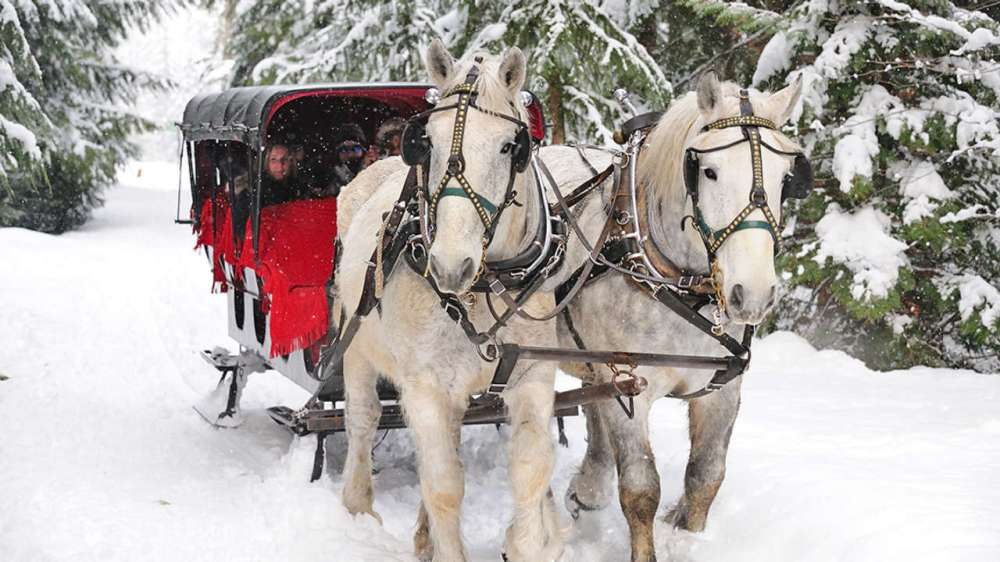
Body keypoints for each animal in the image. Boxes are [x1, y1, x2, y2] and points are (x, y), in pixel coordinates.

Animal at [336, 40, 568, 560]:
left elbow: (530, 469)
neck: (483, 287)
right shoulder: (423, 385)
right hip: (356, 344)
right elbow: (443, 485)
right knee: (362, 420)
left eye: (509, 147)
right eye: (428, 144)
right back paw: (358, 507)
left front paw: (525, 543)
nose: (449, 265)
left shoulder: (532, 376)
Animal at [544, 74, 808, 560]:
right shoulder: (627, 383)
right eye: (709, 171)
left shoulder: (723, 389)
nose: (752, 293)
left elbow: (706, 475)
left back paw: (587, 490)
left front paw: (688, 536)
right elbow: (641, 489)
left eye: (787, 179)